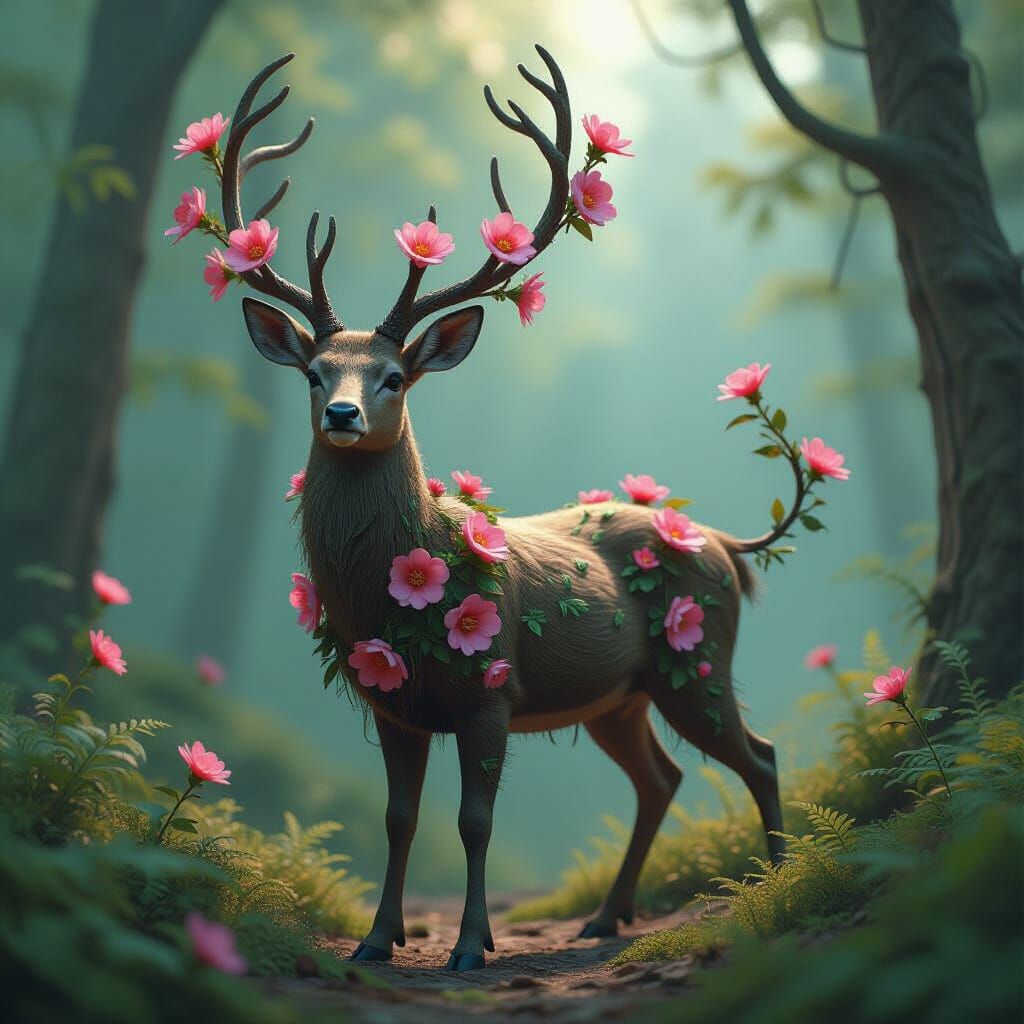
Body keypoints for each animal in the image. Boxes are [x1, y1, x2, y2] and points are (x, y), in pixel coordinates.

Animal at [215, 50, 788, 972]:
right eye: (312, 373)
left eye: (394, 377)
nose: (341, 415)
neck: (400, 581)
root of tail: (721, 542)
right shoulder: (392, 702)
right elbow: (399, 819)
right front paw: (375, 940)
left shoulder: (492, 688)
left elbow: (474, 822)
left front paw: (468, 946)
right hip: (622, 696)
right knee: (661, 778)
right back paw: (604, 919)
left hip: (697, 655)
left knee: (759, 756)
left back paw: (775, 882)